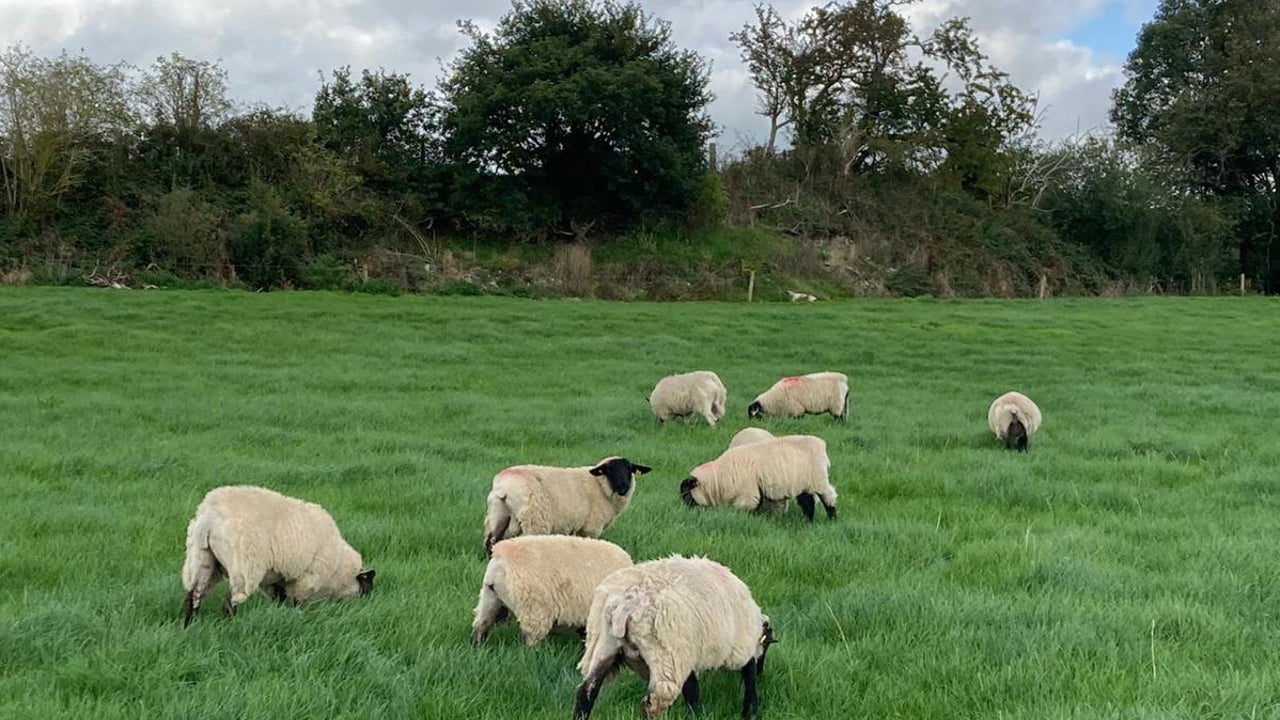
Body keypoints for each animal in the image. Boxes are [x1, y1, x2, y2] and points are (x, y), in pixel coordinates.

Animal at [181, 485, 375, 627]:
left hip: (201, 558)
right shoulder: (307, 578)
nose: (368, 601)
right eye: (367, 584)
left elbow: (280, 599)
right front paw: (297, 617)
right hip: (244, 565)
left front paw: (280, 614)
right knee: (231, 601)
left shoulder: (276, 578)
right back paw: (230, 624)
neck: (338, 568)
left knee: (194, 594)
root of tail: (210, 517)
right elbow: (296, 601)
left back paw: (190, 625)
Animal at [471, 535, 632, 646]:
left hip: (490, 598)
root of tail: (502, 555)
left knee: (481, 624)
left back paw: (478, 646)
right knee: (532, 638)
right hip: (533, 609)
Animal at [482, 457, 652, 555]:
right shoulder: (591, 528)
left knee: (491, 541)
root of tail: (504, 486)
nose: (624, 487)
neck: (600, 486)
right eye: (609, 470)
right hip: (534, 521)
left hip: (497, 514)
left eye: (630, 470)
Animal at [573, 555, 777, 720]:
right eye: (767, 646)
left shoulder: (687, 653)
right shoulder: (740, 646)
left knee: (586, 691)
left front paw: (695, 714)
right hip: (665, 657)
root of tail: (626, 605)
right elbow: (749, 676)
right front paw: (751, 711)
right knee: (652, 704)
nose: (762, 673)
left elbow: (692, 688)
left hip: (603, 645)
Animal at [680, 435, 836, 521]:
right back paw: (807, 520)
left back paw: (832, 517)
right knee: (807, 501)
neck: (718, 479)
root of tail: (821, 445)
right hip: (803, 483)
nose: (686, 509)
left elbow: (745, 508)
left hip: (818, 480)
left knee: (828, 497)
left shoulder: (747, 494)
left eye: (686, 493)